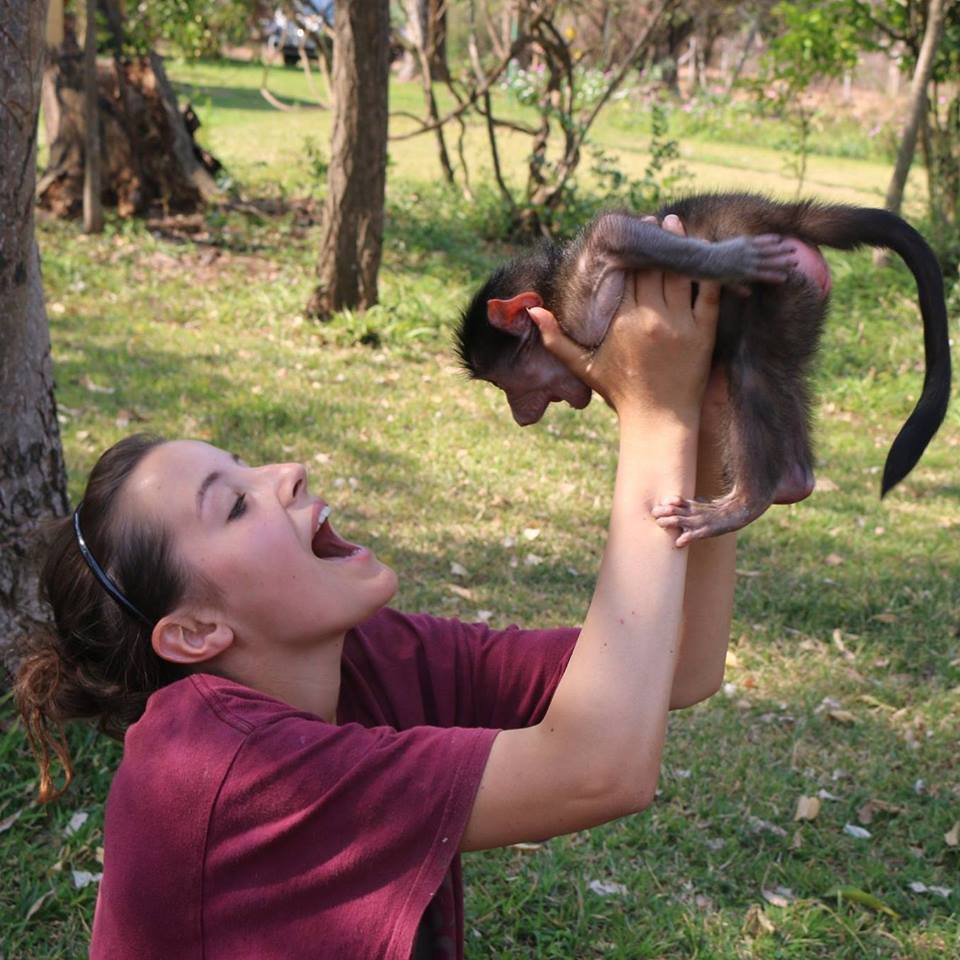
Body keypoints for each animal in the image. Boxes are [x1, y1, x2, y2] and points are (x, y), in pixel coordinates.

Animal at [458, 191, 952, 544]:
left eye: (505, 383)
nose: (521, 415)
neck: (549, 284)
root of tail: (780, 214)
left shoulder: (575, 302)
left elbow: (612, 231)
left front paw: (733, 259)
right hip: (804, 300)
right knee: (777, 371)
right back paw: (793, 481)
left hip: (787, 285)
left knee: (753, 368)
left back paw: (749, 499)